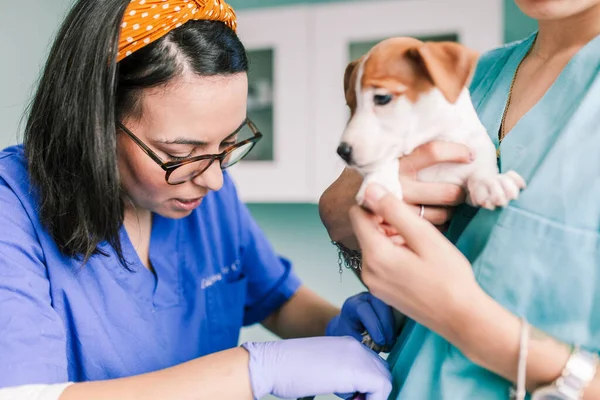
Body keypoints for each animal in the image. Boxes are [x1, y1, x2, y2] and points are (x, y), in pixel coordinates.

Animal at [338, 37, 524, 209]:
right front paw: (381, 181)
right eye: (350, 105)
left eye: (382, 98)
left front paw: (491, 182)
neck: (435, 137)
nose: (342, 151)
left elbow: (480, 171)